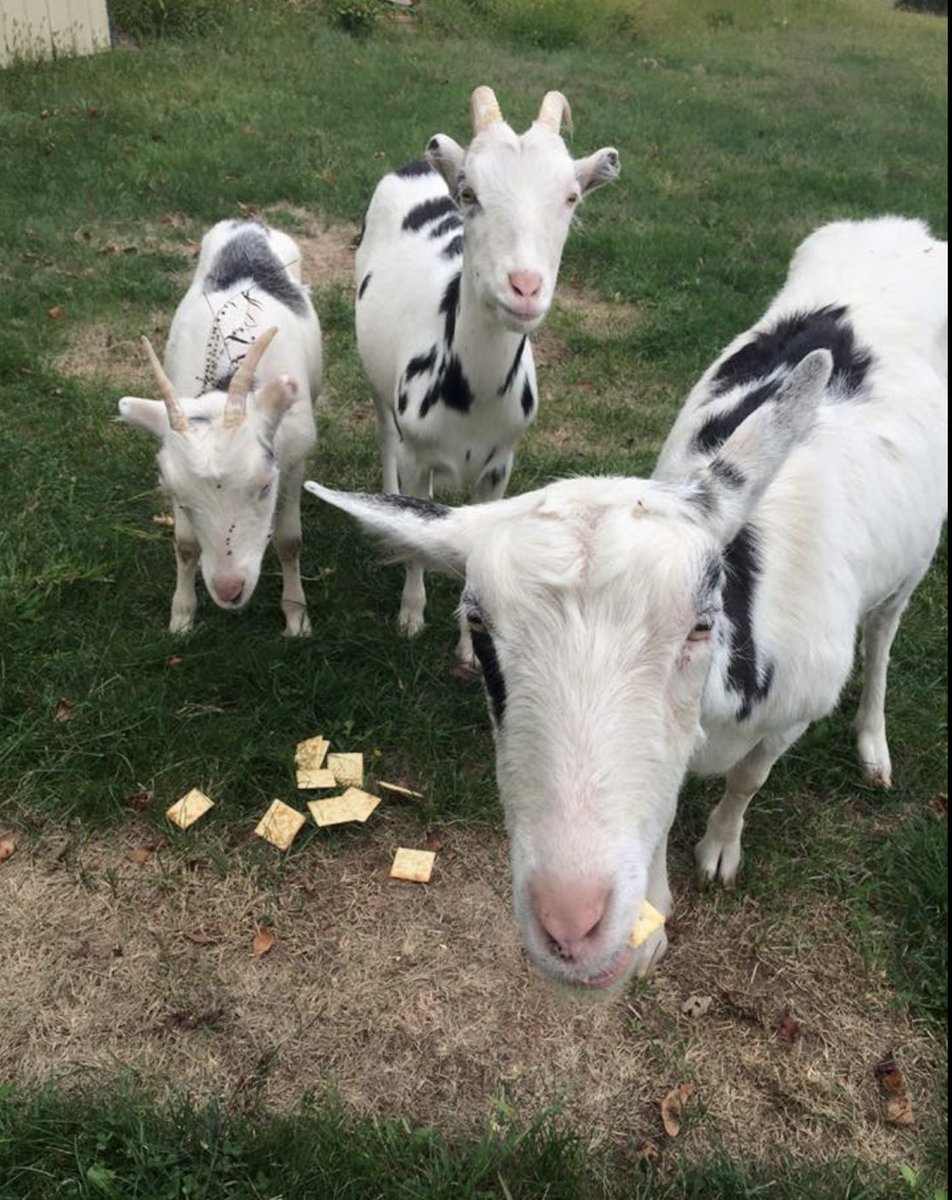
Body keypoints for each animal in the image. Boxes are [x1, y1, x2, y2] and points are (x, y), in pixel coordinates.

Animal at [118, 218, 322, 635]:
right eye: (178, 497)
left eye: (265, 486)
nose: (230, 590)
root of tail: (250, 223)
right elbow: (185, 544)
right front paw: (182, 615)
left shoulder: (293, 461)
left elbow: (290, 541)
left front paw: (296, 615)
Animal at [306, 216, 948, 991]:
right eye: (478, 628)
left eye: (701, 624)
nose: (570, 925)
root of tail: (895, 230)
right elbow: (664, 808)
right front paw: (655, 920)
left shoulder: (796, 708)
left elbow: (749, 778)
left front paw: (719, 853)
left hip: (914, 560)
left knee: (884, 633)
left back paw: (874, 747)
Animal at [355, 85, 620, 661]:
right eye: (469, 192)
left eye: (571, 197)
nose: (524, 287)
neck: (470, 400)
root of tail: (418, 163)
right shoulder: (417, 453)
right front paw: (411, 616)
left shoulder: (501, 463)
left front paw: (470, 649)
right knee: (383, 432)